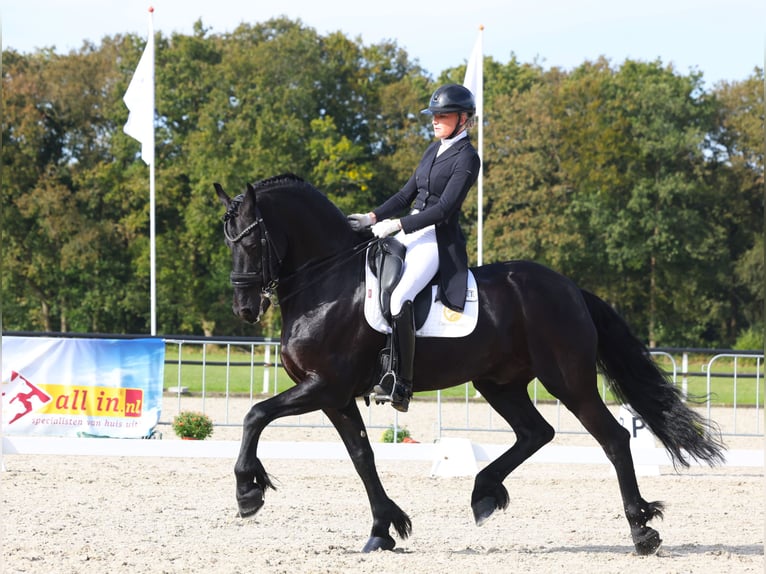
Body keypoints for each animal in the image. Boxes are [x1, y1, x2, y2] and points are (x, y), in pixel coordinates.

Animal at [214, 174, 728, 560]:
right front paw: (384, 528)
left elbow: (254, 415)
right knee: (536, 433)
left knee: (614, 438)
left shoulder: (324, 385)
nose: (244, 309)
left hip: (568, 380)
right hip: (499, 383)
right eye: (228, 241)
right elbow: (362, 456)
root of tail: (569, 287)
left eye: (253, 239)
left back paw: (642, 532)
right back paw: (484, 492)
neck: (328, 283)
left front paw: (248, 492)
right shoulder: (334, 395)